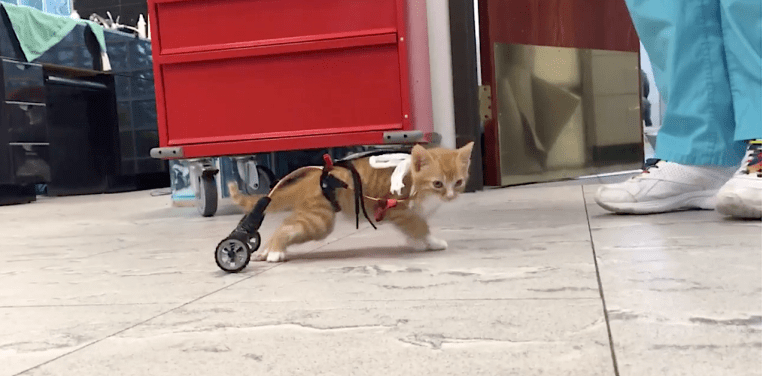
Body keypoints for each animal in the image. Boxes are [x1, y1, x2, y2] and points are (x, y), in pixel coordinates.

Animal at [226, 142, 474, 262]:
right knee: (287, 226)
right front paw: (431, 242)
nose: (450, 196)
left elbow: (414, 228)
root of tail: (313, 176)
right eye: (438, 184)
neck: (411, 175)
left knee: (286, 222)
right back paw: (275, 251)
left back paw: (266, 250)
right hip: (320, 221)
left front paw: (417, 243)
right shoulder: (398, 209)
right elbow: (419, 225)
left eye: (458, 182)